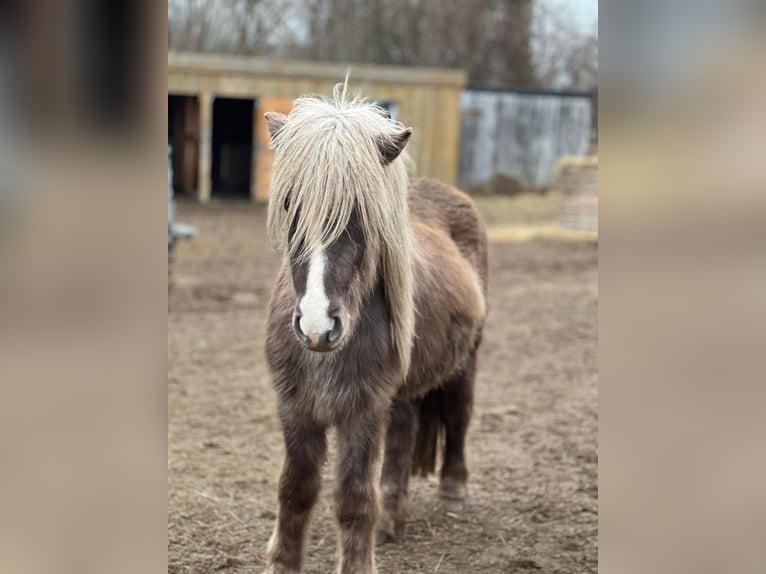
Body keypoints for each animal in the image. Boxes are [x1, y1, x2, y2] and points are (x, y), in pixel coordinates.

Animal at [260, 85, 488, 574]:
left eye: (360, 213)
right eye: (289, 204)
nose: (317, 326)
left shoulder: (361, 413)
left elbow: (353, 500)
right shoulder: (295, 409)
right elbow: (295, 489)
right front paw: (283, 562)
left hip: (466, 361)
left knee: (459, 412)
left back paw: (452, 489)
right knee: (402, 437)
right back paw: (392, 520)